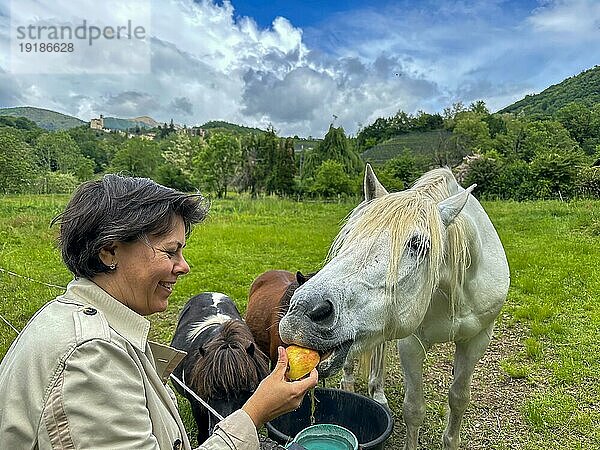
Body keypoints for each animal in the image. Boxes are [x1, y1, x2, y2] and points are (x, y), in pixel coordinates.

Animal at [278, 163, 508, 448]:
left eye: (419, 244)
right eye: (349, 238)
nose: (302, 312)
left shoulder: (478, 339)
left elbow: (459, 399)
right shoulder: (411, 344)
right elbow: (414, 409)